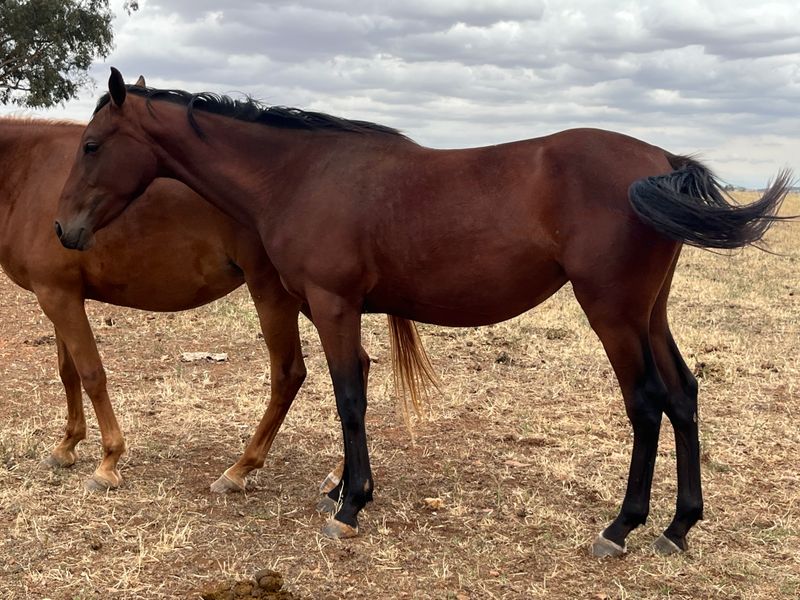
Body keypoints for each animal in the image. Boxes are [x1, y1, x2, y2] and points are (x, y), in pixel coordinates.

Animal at [0, 110, 433, 496]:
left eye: (92, 147)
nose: (63, 229)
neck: (29, 173)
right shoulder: (59, 295)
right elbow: (68, 372)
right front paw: (66, 447)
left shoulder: (59, 297)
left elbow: (91, 374)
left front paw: (108, 463)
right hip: (320, 300)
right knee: (356, 363)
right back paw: (341, 475)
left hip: (281, 295)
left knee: (291, 374)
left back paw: (242, 469)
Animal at [54, 68, 792, 557]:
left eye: (91, 144)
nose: (64, 229)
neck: (300, 175)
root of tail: (660, 160)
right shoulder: (334, 309)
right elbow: (352, 389)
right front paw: (342, 491)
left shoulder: (334, 306)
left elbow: (349, 397)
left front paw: (350, 505)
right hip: (649, 312)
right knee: (684, 396)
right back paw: (678, 528)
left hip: (612, 313)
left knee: (646, 403)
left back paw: (622, 527)